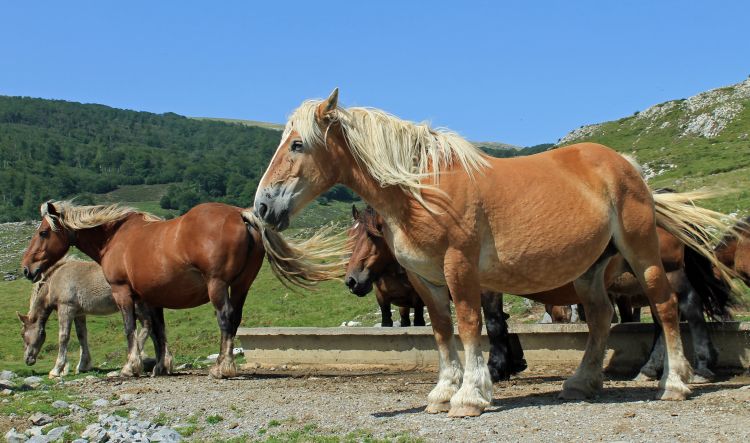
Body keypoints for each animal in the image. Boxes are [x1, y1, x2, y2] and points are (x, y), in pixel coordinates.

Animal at [16, 256, 170, 378]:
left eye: (23, 334)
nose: (27, 360)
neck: (56, 279)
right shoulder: (79, 313)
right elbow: (82, 336)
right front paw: (82, 366)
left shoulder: (66, 309)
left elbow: (63, 337)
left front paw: (57, 369)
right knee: (157, 333)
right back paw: (160, 366)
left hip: (138, 306)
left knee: (148, 327)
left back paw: (134, 362)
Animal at [256, 89, 736, 416]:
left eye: (297, 144)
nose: (262, 207)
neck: (423, 188)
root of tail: (629, 168)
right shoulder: (427, 281)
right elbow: (442, 331)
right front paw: (443, 392)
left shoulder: (461, 268)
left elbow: (471, 327)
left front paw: (470, 395)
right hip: (591, 270)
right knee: (601, 319)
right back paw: (582, 383)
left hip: (646, 259)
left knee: (667, 310)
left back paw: (674, 383)